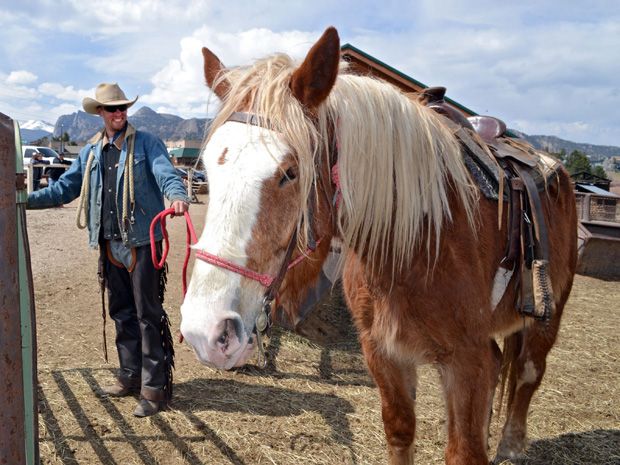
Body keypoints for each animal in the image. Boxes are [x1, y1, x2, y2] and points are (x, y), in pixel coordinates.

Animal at [179, 26, 576, 464]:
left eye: (289, 172)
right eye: (207, 170)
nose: (205, 331)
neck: (418, 246)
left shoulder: (465, 362)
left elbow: (464, 450)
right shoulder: (383, 353)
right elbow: (400, 431)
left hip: (549, 313)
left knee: (527, 371)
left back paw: (511, 444)